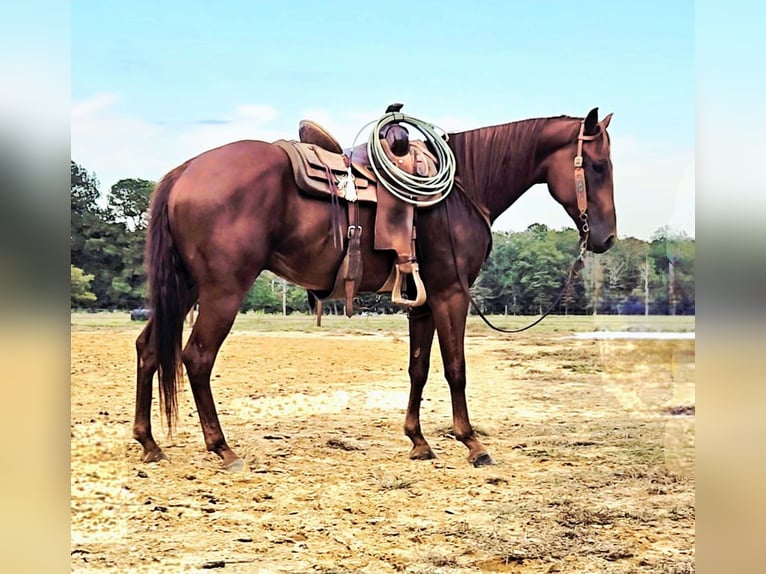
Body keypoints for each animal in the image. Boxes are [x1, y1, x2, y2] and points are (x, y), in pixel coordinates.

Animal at [133, 107, 616, 470]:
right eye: (597, 166)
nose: (607, 238)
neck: (464, 190)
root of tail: (184, 172)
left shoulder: (423, 303)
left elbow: (419, 369)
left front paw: (419, 441)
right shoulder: (451, 294)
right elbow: (455, 368)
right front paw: (472, 444)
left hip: (185, 288)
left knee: (149, 348)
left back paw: (149, 443)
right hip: (222, 291)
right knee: (197, 357)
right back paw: (222, 448)